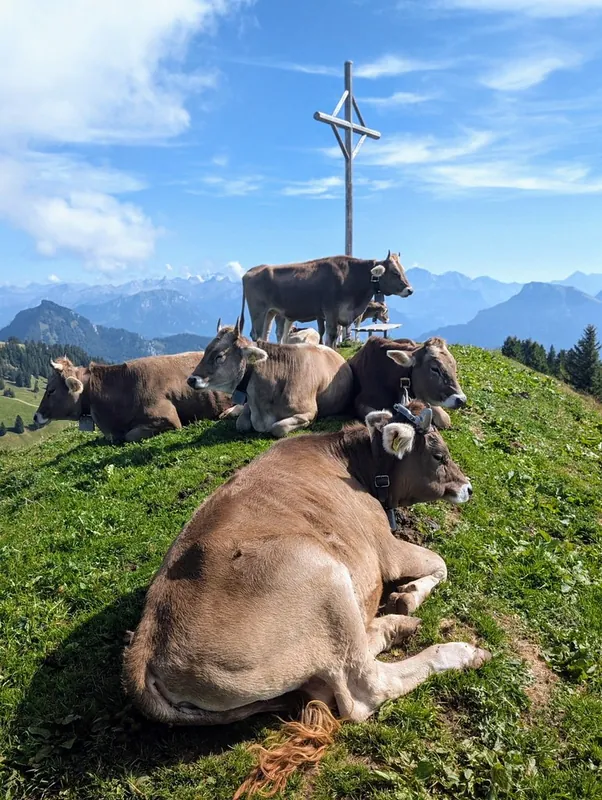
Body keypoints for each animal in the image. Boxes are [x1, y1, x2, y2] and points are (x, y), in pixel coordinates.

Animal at [123, 401, 490, 797]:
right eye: (439, 455)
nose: (468, 487)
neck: (355, 463)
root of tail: (146, 643)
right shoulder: (386, 548)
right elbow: (440, 563)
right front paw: (409, 596)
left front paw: (403, 603)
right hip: (326, 576)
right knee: (363, 687)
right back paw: (453, 650)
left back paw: (393, 627)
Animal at [186, 320, 352, 437]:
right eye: (206, 350)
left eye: (219, 356)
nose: (191, 379)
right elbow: (241, 423)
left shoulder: (309, 412)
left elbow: (278, 427)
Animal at [243, 251, 412, 348]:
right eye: (395, 272)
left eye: (402, 270)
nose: (410, 290)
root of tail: (251, 270)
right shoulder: (331, 311)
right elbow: (330, 335)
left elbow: (334, 336)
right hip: (258, 311)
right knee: (256, 334)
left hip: (271, 312)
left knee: (265, 335)